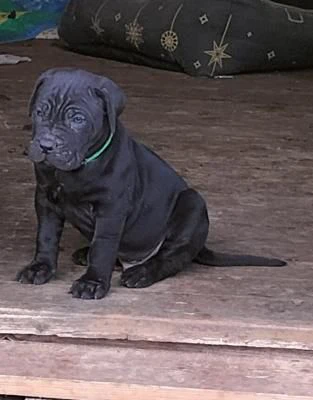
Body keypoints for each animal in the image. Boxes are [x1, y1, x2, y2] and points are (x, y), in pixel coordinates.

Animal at [17, 69, 286, 300]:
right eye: (39, 112)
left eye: (78, 119)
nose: (46, 146)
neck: (78, 168)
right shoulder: (46, 198)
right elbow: (46, 236)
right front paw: (39, 267)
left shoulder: (111, 209)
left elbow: (103, 246)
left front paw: (92, 283)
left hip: (192, 205)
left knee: (170, 258)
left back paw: (141, 273)